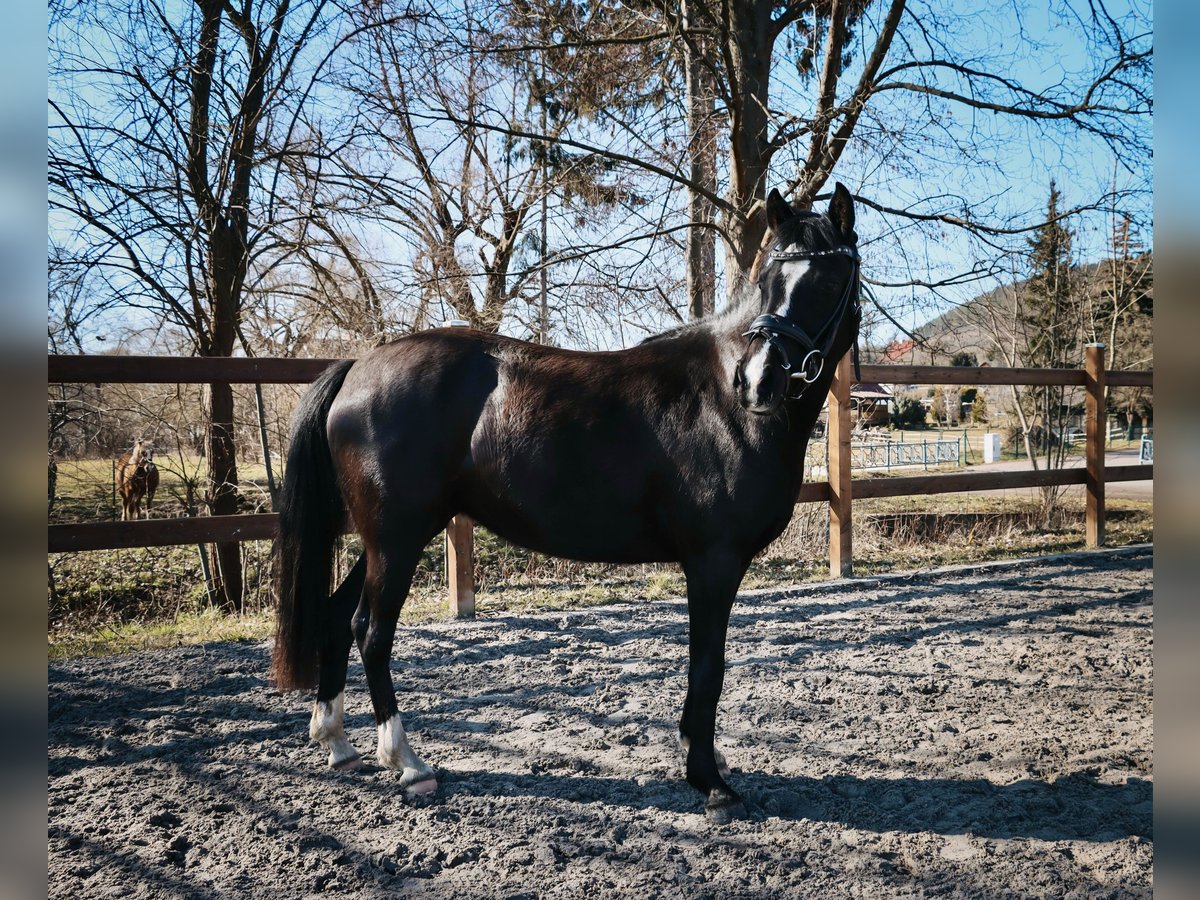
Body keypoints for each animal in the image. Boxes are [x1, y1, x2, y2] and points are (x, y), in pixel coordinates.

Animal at [273, 184, 864, 825]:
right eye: (771, 280)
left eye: (826, 280)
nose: (757, 382)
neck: (722, 406)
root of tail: (359, 367)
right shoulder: (714, 561)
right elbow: (708, 665)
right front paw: (708, 780)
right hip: (397, 538)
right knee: (371, 631)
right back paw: (406, 761)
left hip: (388, 538)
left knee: (336, 616)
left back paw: (337, 741)